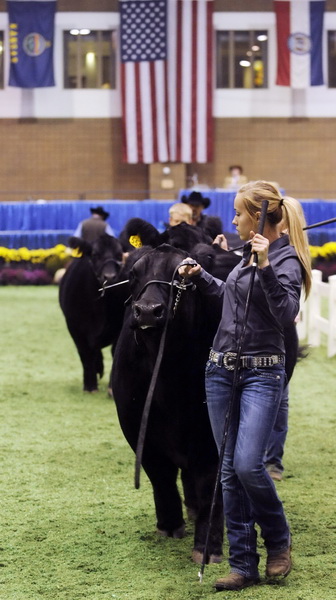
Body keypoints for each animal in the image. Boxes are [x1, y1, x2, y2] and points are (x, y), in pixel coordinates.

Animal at [59, 232, 127, 392]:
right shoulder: (75, 328)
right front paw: (89, 386)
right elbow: (85, 354)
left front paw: (111, 388)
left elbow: (115, 352)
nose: (109, 277)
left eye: (119, 254)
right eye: (95, 254)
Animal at [111, 243, 224, 564]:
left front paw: (207, 548)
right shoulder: (136, 426)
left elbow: (210, 482)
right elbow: (160, 475)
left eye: (181, 277)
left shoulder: (213, 432)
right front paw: (169, 525)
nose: (148, 311)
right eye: (134, 274)